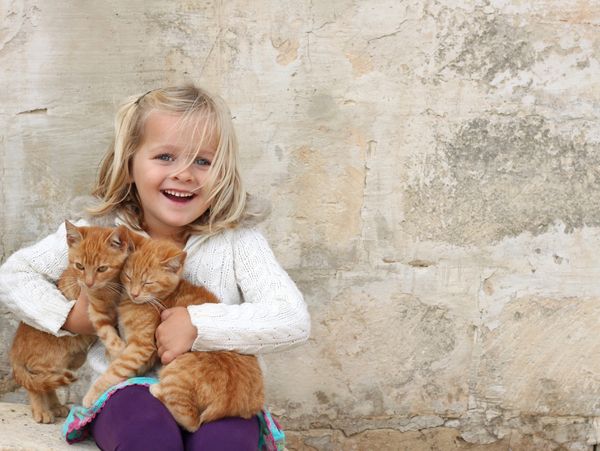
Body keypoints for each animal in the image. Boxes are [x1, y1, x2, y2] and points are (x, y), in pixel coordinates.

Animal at [9, 222, 132, 424]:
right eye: (79, 266)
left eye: (102, 269)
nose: (88, 283)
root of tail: (14, 351)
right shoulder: (97, 309)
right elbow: (110, 333)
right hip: (50, 360)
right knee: (35, 382)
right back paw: (41, 410)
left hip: (74, 359)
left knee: (48, 382)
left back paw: (56, 406)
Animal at [81, 237, 264, 430]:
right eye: (129, 276)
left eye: (148, 283)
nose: (134, 293)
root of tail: (229, 404)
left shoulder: (142, 346)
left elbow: (117, 368)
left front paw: (92, 394)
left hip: (175, 370)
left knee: (192, 421)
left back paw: (156, 389)